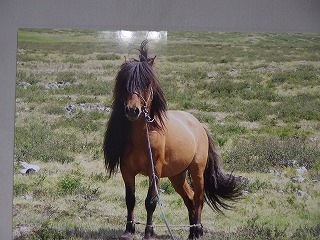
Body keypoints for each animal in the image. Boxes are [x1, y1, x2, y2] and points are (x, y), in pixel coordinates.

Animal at [104, 40, 241, 239]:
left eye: (147, 83)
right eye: (125, 83)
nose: (132, 110)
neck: (143, 137)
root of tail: (199, 125)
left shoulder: (155, 170)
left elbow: (151, 202)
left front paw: (149, 232)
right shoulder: (126, 170)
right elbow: (130, 199)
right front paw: (129, 230)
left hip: (197, 171)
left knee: (199, 198)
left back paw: (198, 230)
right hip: (177, 175)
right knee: (190, 198)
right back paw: (191, 232)